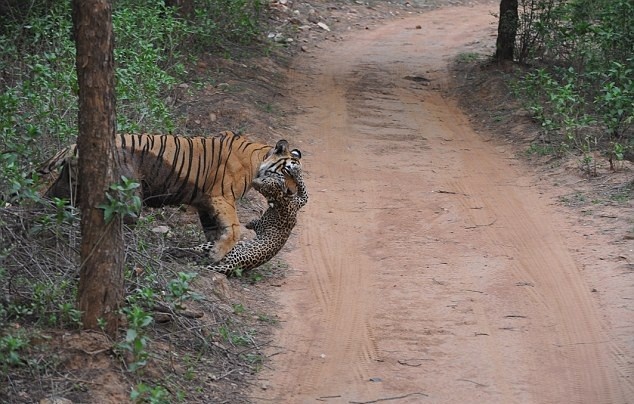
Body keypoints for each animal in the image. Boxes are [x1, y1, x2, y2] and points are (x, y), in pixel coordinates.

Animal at [39, 131, 302, 260]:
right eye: (287, 172)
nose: (291, 192)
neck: (258, 160)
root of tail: (73, 146)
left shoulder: (205, 204)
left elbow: (214, 232)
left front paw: (210, 253)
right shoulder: (221, 197)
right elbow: (235, 229)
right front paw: (217, 254)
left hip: (67, 188)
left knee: (47, 201)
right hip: (129, 196)